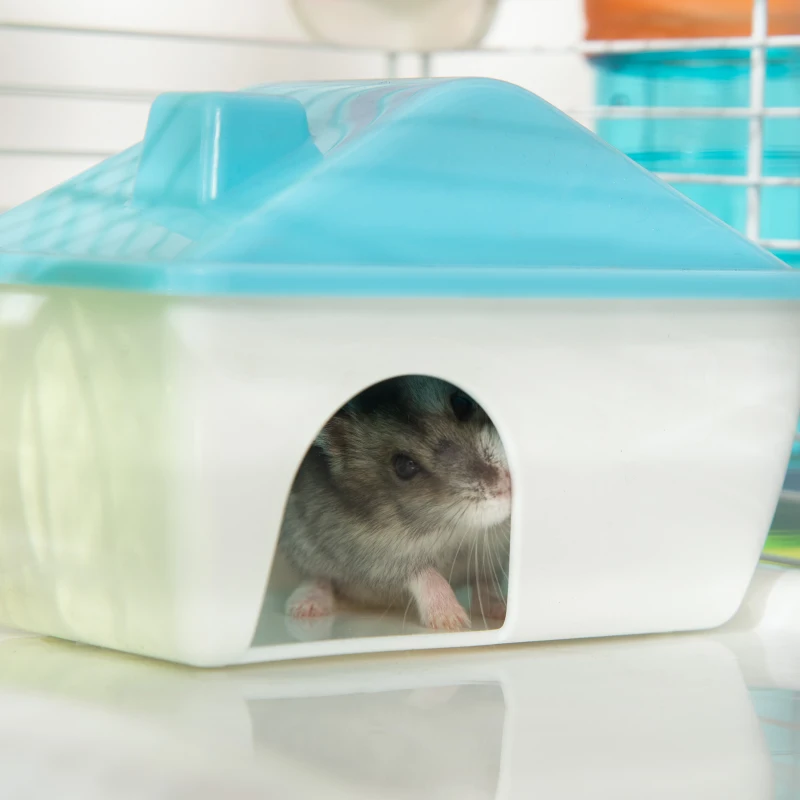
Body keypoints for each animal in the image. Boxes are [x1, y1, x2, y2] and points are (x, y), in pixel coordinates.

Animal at [279, 376, 511, 631]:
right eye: (404, 466)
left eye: (462, 403)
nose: (508, 485)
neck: (453, 529)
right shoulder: (378, 556)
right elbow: (425, 574)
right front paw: (453, 622)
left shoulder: (499, 552)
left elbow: (487, 579)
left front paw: (499, 611)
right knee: (318, 577)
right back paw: (303, 608)